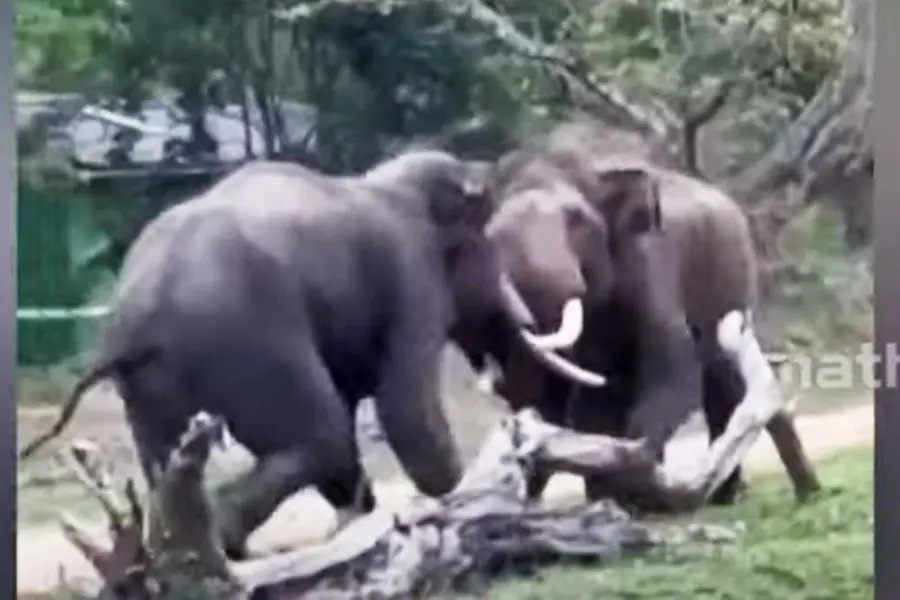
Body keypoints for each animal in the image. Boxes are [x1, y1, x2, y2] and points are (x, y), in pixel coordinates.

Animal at [18, 148, 571, 558]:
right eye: (487, 242)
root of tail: (134, 324)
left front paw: (362, 516)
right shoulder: (412, 279)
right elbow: (403, 411)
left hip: (151, 387)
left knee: (165, 462)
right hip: (249, 341)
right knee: (322, 434)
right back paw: (228, 541)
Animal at [454, 122, 821, 508]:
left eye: (577, 220)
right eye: (492, 235)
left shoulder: (649, 266)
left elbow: (672, 373)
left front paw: (638, 490)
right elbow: (586, 405)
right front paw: (608, 497)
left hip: (733, 284)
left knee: (721, 383)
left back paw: (724, 494)